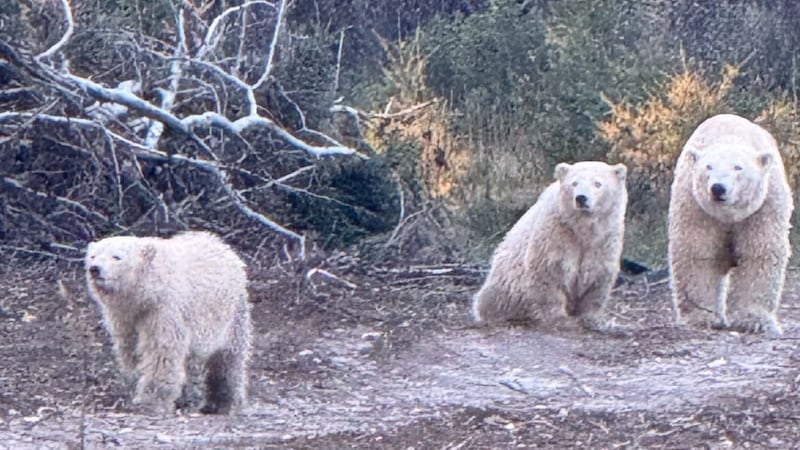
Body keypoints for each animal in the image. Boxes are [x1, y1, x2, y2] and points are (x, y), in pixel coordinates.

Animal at [84, 231, 252, 414]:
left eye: (116, 257)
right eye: (93, 256)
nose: (94, 269)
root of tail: (224, 246)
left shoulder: (165, 310)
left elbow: (161, 350)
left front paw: (150, 400)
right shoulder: (126, 317)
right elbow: (131, 348)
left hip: (231, 313)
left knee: (229, 356)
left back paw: (224, 401)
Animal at [471, 161, 628, 332]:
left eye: (597, 183)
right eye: (574, 183)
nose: (581, 198)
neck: (581, 228)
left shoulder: (605, 239)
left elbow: (597, 274)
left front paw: (592, 319)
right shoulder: (556, 234)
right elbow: (550, 272)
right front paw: (560, 319)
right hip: (507, 285)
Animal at [668, 114, 793, 336]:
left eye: (738, 167)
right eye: (708, 167)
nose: (718, 188)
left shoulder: (763, 207)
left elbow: (758, 254)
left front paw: (754, 320)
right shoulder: (696, 208)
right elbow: (697, 253)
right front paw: (702, 316)